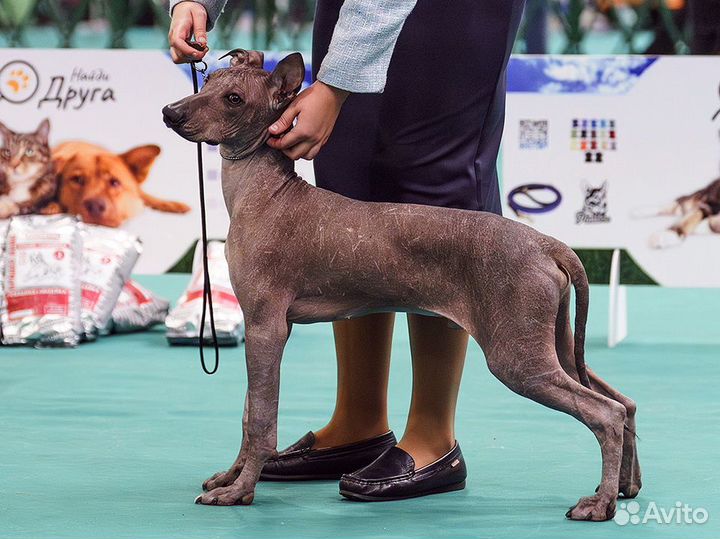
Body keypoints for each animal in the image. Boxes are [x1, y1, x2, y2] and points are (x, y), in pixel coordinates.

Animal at [163, 51, 640, 524]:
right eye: (208, 80)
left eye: (234, 99)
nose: (171, 112)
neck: (266, 195)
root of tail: (547, 243)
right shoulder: (264, 327)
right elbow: (248, 415)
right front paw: (230, 477)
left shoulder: (267, 327)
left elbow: (261, 420)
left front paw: (240, 491)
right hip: (554, 346)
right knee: (624, 402)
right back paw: (624, 487)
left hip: (518, 358)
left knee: (606, 413)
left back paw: (599, 503)